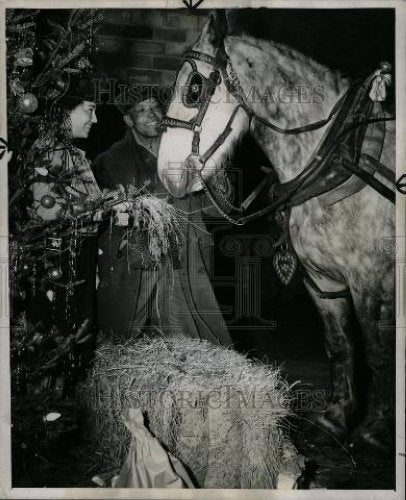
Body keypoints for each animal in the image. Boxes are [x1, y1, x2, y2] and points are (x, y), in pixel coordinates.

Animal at [157, 14, 394, 450]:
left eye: (194, 88)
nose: (167, 174)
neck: (338, 163)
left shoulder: (370, 282)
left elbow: (377, 352)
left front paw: (376, 429)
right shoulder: (323, 282)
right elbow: (340, 345)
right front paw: (335, 419)